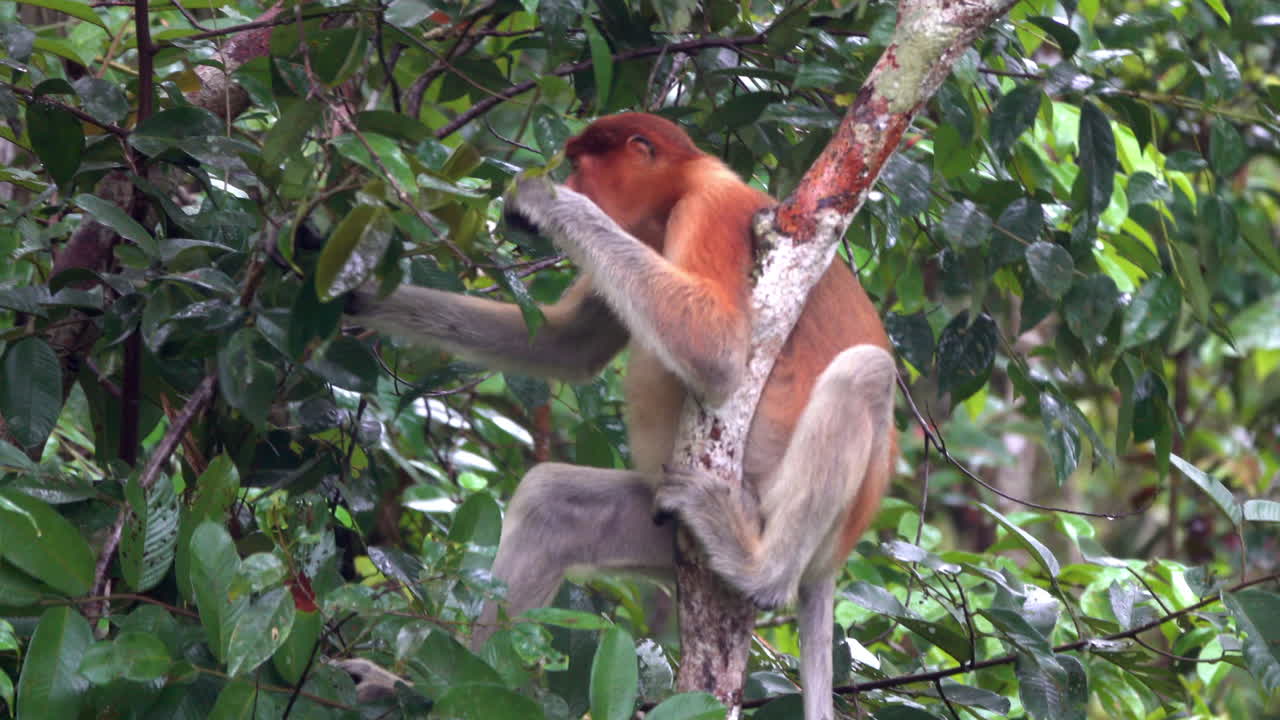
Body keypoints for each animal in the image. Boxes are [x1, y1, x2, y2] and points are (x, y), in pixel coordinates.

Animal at [346, 112, 896, 720]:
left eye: (579, 164)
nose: (569, 182)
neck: (676, 190)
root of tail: (832, 561)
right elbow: (567, 345)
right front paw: (350, 287)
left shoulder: (711, 209)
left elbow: (714, 348)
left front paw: (544, 200)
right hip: (661, 534)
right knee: (551, 506)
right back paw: (426, 692)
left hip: (785, 510)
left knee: (868, 372)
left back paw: (761, 571)